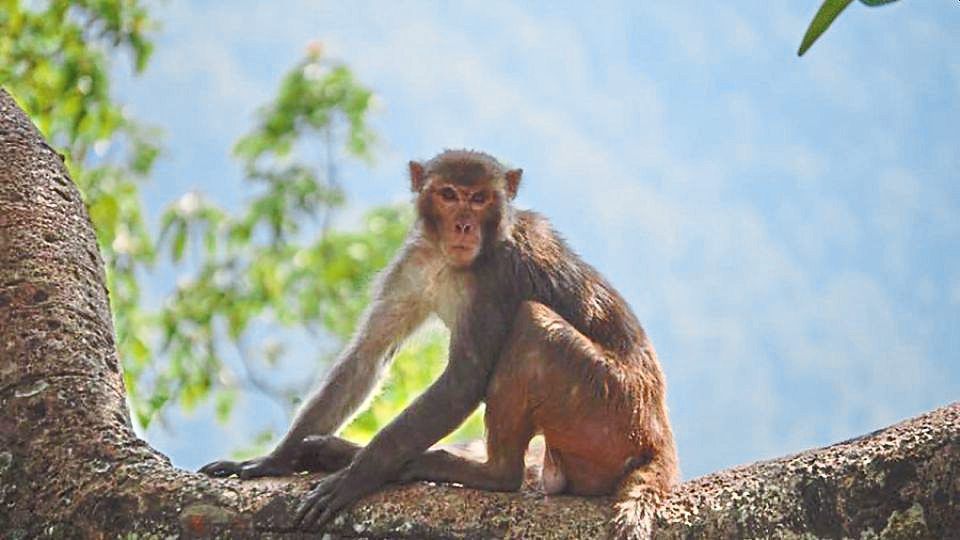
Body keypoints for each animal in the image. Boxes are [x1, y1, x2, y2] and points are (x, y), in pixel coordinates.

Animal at [199, 150, 679, 538]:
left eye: (480, 198)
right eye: (449, 194)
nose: (464, 224)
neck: (454, 261)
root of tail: (657, 435)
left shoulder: (497, 277)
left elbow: (463, 382)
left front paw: (358, 477)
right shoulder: (413, 261)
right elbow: (368, 354)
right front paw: (273, 460)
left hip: (607, 408)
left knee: (532, 327)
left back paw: (477, 471)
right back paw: (332, 451)